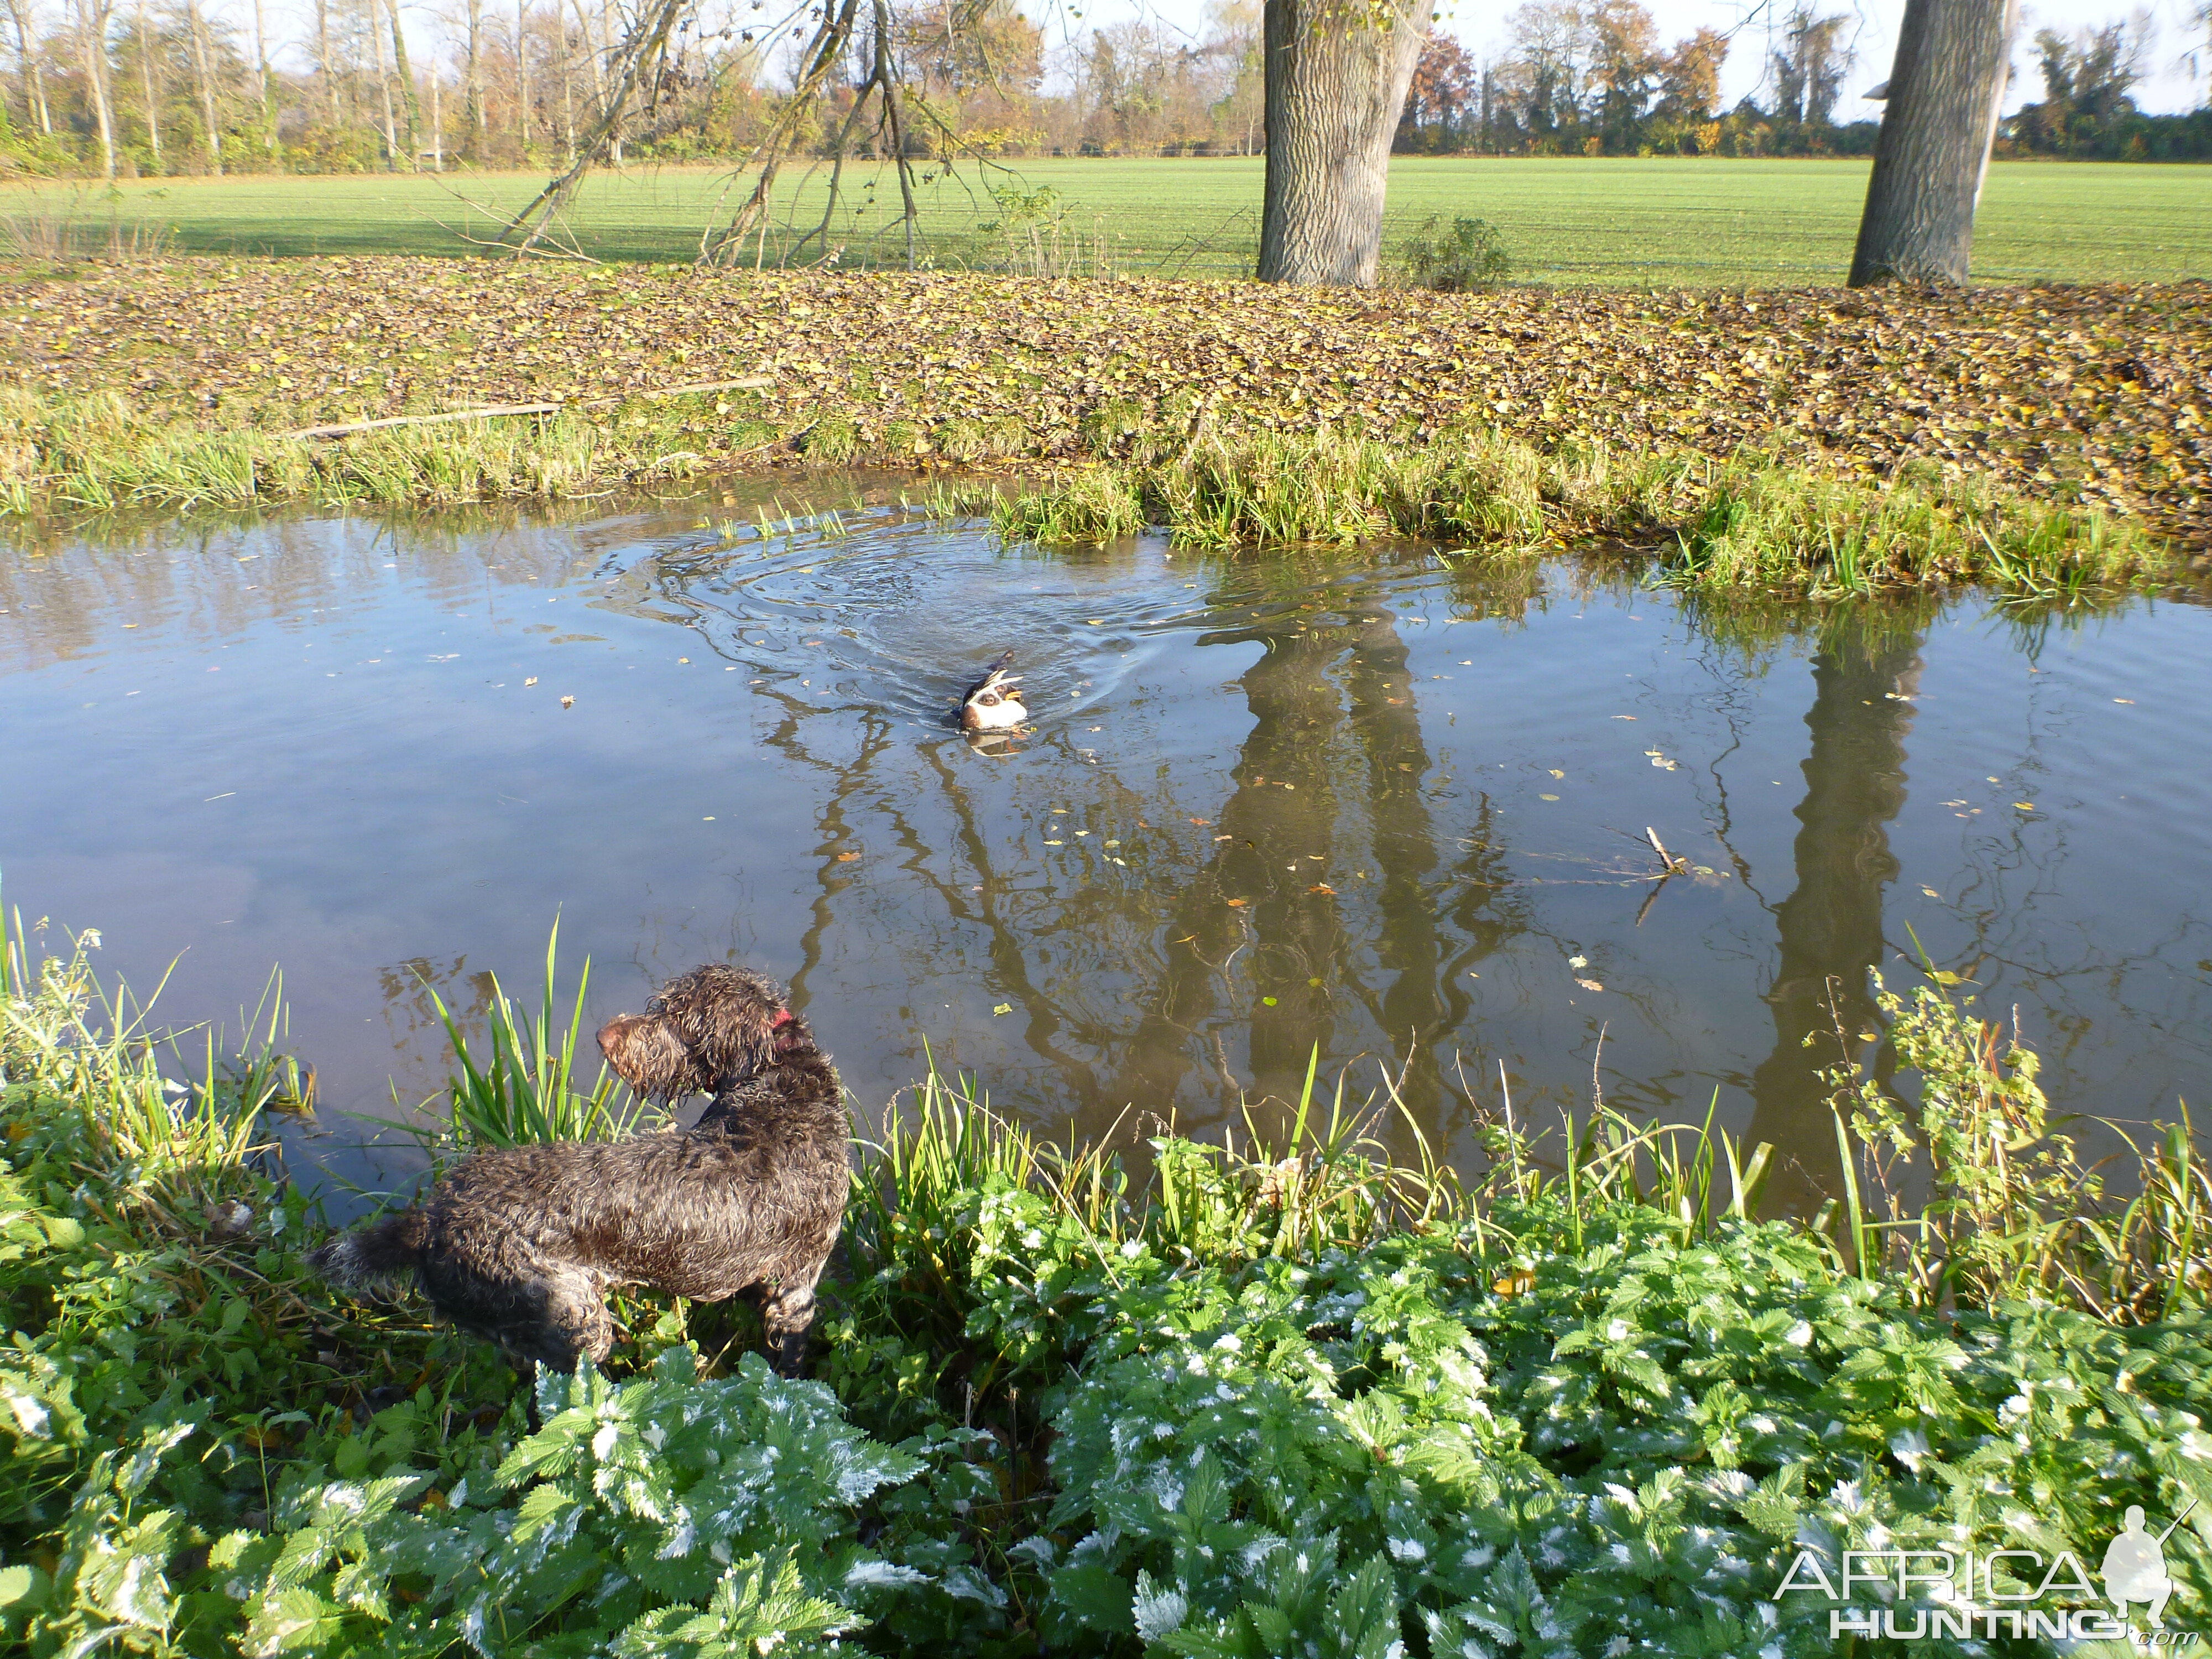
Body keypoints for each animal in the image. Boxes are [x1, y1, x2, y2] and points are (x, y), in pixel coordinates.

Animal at [316, 960, 849, 1380]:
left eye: (678, 1018)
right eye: (664, 1005)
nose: (603, 1037)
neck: (781, 1078)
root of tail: (431, 1221)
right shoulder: (798, 1288)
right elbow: (791, 1363)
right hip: (576, 1325)